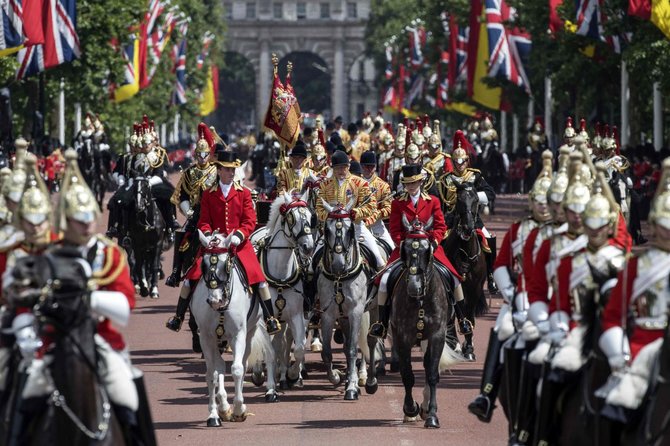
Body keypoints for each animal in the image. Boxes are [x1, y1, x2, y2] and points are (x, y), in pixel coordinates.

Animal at [190, 246, 280, 426]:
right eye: (203, 265)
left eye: (226, 265)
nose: (215, 300)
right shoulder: (206, 338)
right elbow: (212, 373)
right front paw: (215, 414)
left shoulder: (238, 335)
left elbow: (237, 369)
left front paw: (238, 410)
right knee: (221, 366)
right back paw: (224, 407)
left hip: (251, 331)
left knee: (250, 361)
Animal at [318, 199, 376, 400]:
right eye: (326, 229)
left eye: (350, 229)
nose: (338, 265)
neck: (339, 278)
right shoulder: (328, 314)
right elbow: (327, 352)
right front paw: (336, 377)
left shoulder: (356, 312)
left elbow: (352, 348)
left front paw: (351, 387)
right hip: (343, 317)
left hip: (373, 310)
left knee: (368, 341)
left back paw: (368, 380)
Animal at [444, 183, 490, 360]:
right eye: (459, 199)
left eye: (476, 200)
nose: (468, 227)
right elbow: (458, 312)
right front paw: (459, 342)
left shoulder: (475, 287)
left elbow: (469, 314)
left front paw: (469, 347)